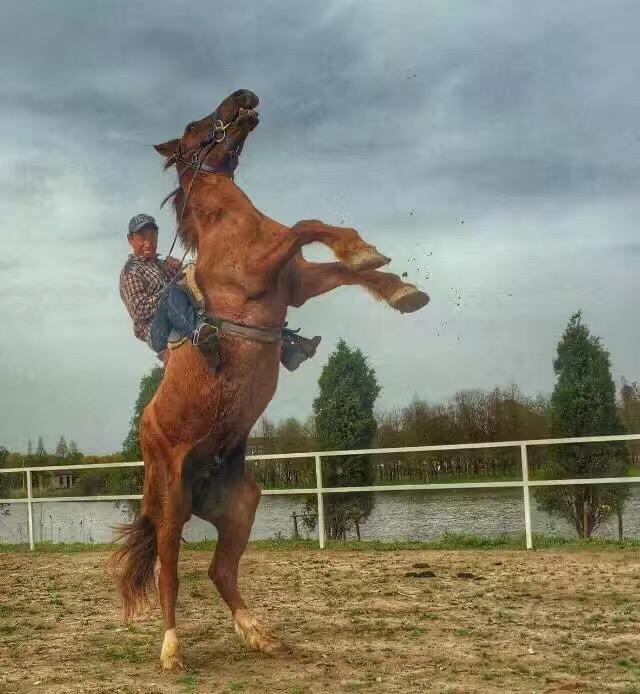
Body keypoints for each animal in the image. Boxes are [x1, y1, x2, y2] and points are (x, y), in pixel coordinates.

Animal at [110, 89, 430, 672]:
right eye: (195, 125)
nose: (243, 97)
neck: (230, 226)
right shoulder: (262, 269)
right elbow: (305, 225)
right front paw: (366, 250)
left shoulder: (295, 282)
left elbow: (339, 265)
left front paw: (400, 288)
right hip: (171, 504)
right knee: (169, 569)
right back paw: (172, 649)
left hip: (241, 505)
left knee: (219, 570)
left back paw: (258, 634)